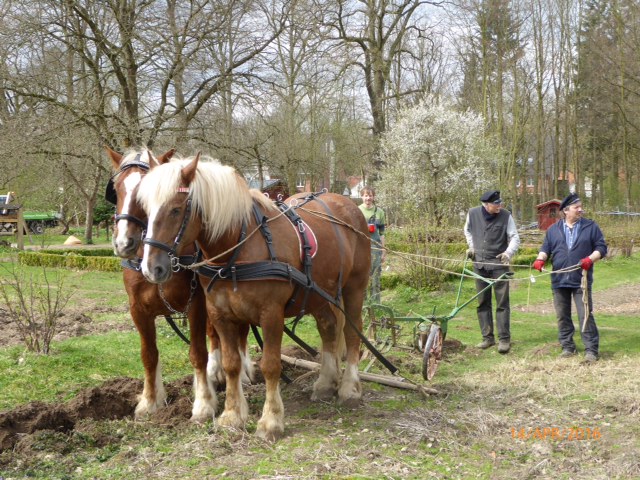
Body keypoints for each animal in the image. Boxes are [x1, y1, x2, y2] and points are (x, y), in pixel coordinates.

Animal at [105, 147, 254, 422]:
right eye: (117, 189)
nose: (124, 243)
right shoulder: (138, 310)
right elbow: (149, 355)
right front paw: (150, 400)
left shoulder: (195, 303)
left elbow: (197, 353)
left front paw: (203, 403)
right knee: (214, 334)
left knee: (238, 334)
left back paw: (241, 371)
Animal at [136, 153, 371, 441]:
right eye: (146, 209)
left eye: (176, 210)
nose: (151, 268)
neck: (238, 249)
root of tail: (348, 205)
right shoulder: (220, 315)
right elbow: (231, 364)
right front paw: (232, 416)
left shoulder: (271, 314)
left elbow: (271, 365)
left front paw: (271, 421)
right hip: (319, 293)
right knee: (328, 327)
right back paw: (326, 383)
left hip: (354, 287)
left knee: (352, 331)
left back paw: (350, 387)